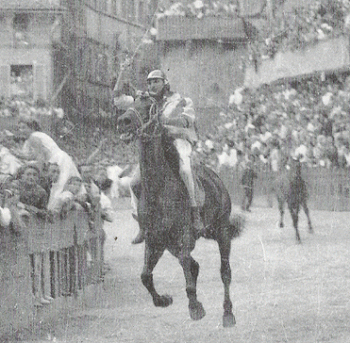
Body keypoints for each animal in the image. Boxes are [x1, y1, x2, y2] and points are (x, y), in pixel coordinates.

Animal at [117, 92, 243, 330]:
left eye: (148, 106)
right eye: (132, 102)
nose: (124, 121)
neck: (159, 189)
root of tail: (215, 177)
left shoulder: (183, 236)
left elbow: (186, 268)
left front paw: (195, 307)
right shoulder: (155, 241)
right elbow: (145, 275)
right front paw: (163, 300)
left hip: (222, 232)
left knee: (225, 273)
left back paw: (228, 313)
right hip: (170, 245)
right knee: (194, 265)